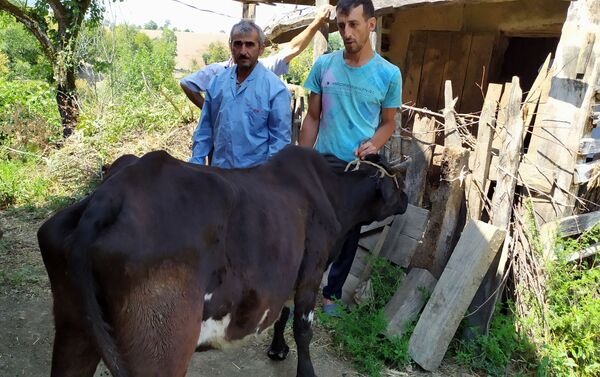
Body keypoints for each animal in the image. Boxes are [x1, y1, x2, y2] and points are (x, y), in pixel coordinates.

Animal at [37, 145, 408, 374]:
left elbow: (282, 313)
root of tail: (106, 200)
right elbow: (303, 328)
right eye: (398, 182)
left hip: (73, 330)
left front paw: (277, 349)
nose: (406, 200)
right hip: (158, 350)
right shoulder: (311, 270)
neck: (331, 190)